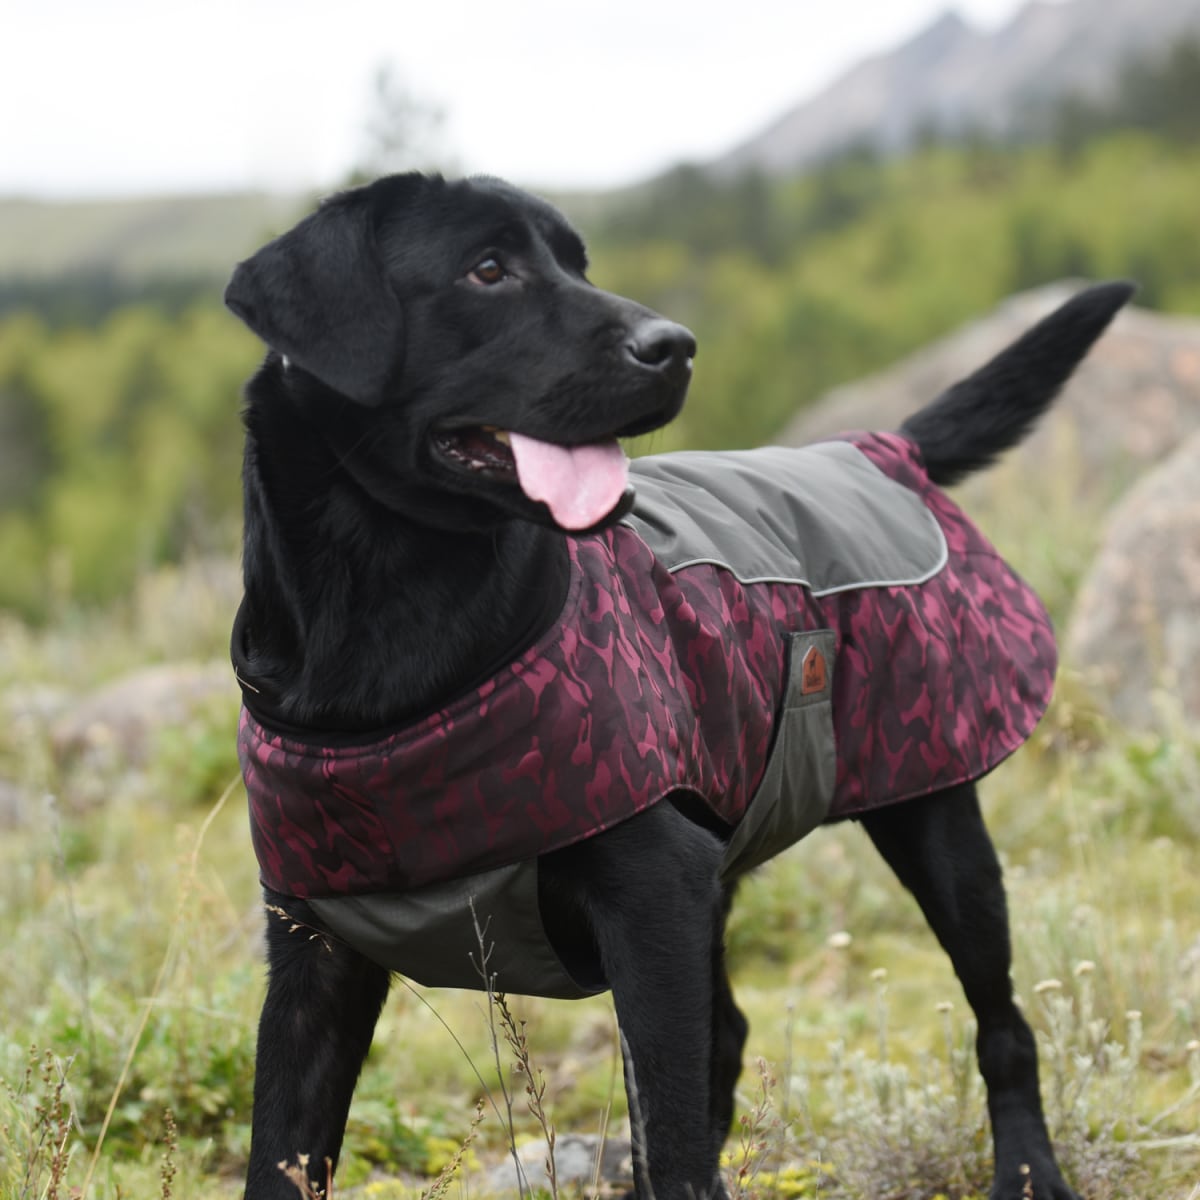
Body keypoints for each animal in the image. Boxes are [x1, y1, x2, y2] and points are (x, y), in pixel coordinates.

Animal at [225, 171, 1132, 1200]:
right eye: (487, 269)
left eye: (578, 263)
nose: (675, 346)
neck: (386, 628)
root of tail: (875, 449)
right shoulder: (312, 955)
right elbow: (280, 1152)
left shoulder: (652, 899)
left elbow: (676, 1132)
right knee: (729, 1034)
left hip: (936, 826)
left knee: (1002, 1023)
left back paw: (1028, 1168)